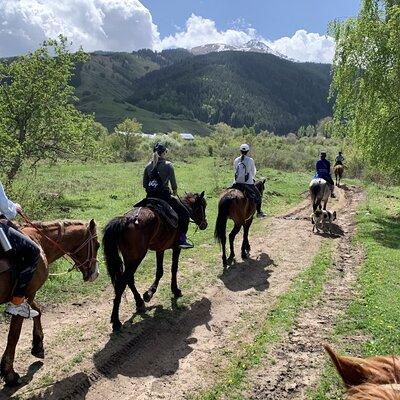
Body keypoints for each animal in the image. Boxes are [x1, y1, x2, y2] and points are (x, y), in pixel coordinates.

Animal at [0, 219, 100, 388]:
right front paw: (10, 374)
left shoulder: (27, 295)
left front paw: (38, 345)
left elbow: (38, 311)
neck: (39, 242)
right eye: (97, 245)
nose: (95, 274)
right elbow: (14, 335)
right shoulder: (25, 295)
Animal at [101, 191, 208, 332]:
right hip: (136, 258)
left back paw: (139, 301)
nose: (205, 224)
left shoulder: (160, 248)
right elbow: (174, 268)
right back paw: (116, 320)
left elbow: (159, 271)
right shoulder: (176, 247)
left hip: (130, 258)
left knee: (129, 279)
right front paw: (175, 290)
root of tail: (126, 220)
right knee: (121, 283)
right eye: (203, 207)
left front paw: (149, 293)